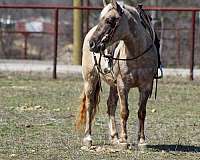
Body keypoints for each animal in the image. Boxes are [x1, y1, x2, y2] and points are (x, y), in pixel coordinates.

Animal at [76, 0, 159, 148]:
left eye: (110, 20)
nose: (92, 43)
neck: (136, 54)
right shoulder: (123, 85)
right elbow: (124, 111)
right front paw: (124, 139)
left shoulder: (146, 86)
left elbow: (141, 112)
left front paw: (141, 140)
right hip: (90, 79)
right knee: (90, 106)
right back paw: (88, 138)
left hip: (113, 84)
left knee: (110, 105)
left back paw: (114, 137)